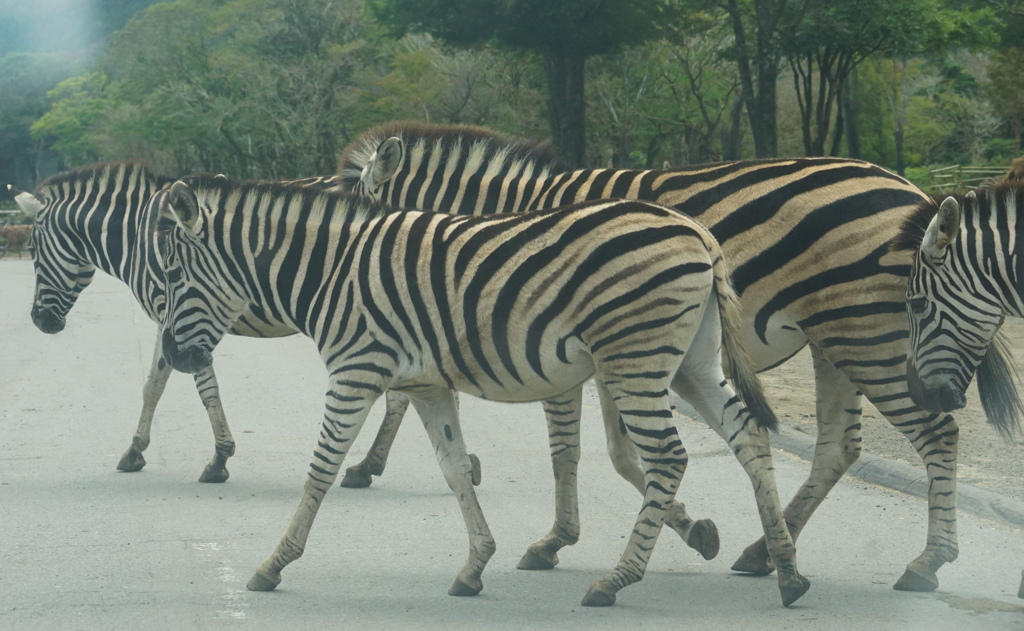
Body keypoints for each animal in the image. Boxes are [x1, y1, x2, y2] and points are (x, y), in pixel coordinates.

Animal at [8, 163, 346, 483]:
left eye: (31, 250)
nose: (39, 320)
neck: (136, 238)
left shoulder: (178, 315)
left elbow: (204, 387)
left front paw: (219, 459)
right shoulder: (170, 321)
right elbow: (152, 386)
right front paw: (135, 451)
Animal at [153, 176, 806, 606]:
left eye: (174, 276)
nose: (174, 357)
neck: (329, 271)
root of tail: (696, 231)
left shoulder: (354, 371)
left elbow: (320, 470)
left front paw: (273, 564)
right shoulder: (425, 384)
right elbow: (456, 470)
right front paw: (474, 567)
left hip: (635, 359)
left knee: (669, 456)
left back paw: (615, 581)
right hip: (690, 362)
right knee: (748, 434)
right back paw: (786, 571)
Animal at [331, 120, 962, 594]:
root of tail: (914, 190)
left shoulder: (548, 346)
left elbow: (568, 450)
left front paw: (555, 540)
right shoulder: (602, 354)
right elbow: (619, 455)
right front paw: (692, 528)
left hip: (868, 335)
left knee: (936, 432)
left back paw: (926, 563)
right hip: (836, 339)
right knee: (838, 446)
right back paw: (764, 552)